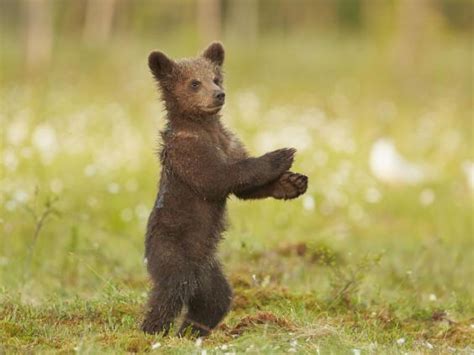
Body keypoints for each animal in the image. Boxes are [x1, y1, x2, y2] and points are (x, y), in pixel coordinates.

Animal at [141, 41, 310, 336]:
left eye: (215, 78)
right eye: (194, 83)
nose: (219, 94)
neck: (205, 128)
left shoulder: (229, 142)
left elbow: (244, 187)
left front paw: (293, 183)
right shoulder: (188, 152)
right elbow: (219, 177)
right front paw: (281, 154)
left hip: (209, 270)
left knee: (215, 299)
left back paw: (191, 331)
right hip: (171, 249)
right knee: (171, 290)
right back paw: (151, 330)